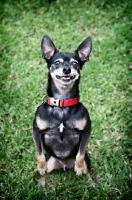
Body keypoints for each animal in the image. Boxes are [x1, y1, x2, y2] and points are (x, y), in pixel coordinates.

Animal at [32, 34, 92, 180]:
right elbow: (39, 153)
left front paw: (78, 167)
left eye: (75, 63)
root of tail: (64, 165)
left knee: (87, 171)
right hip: (50, 161)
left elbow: (80, 153)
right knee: (44, 173)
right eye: (57, 63)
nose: (66, 69)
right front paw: (41, 167)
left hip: (88, 164)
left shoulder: (86, 131)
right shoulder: (36, 131)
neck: (62, 102)